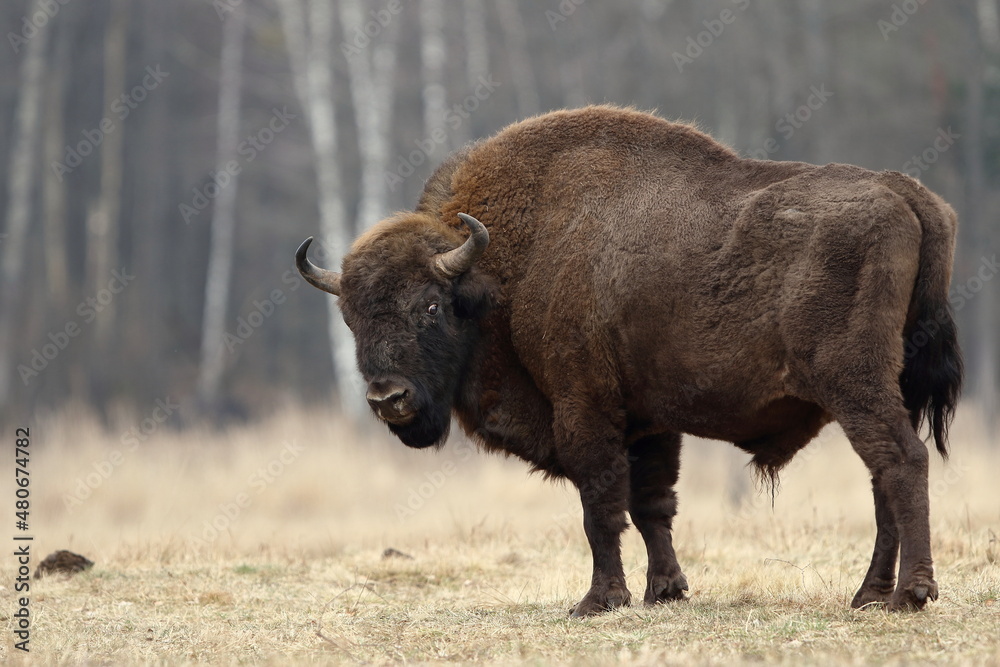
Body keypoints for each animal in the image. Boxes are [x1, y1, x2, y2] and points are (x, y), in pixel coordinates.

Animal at [296, 107, 960, 620]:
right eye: (351, 317)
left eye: (430, 306)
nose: (388, 399)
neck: (504, 269)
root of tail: (907, 194)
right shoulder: (648, 421)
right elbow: (651, 505)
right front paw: (664, 591)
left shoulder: (584, 408)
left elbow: (602, 506)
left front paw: (598, 601)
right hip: (886, 389)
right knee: (882, 478)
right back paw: (870, 594)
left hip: (856, 386)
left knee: (902, 463)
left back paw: (908, 594)